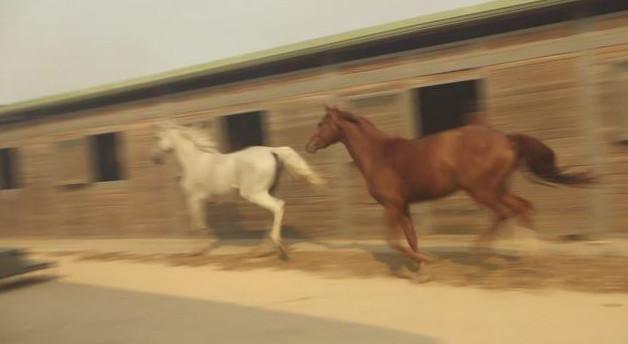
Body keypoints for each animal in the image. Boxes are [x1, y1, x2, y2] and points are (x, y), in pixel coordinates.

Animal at [151, 119, 324, 256]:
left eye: (158, 137)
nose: (155, 158)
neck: (193, 161)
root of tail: (272, 150)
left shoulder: (194, 198)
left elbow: (196, 224)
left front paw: (198, 250)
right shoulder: (202, 199)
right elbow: (200, 222)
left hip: (255, 194)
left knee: (278, 206)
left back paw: (277, 246)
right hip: (266, 192)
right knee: (273, 213)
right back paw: (261, 250)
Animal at [306, 107, 596, 266]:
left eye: (321, 123)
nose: (309, 145)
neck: (380, 155)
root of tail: (507, 139)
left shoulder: (391, 205)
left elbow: (393, 241)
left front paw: (425, 261)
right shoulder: (403, 206)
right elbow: (411, 239)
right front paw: (422, 271)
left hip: (481, 190)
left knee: (504, 213)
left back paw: (483, 255)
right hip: (497, 188)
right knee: (523, 207)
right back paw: (530, 256)